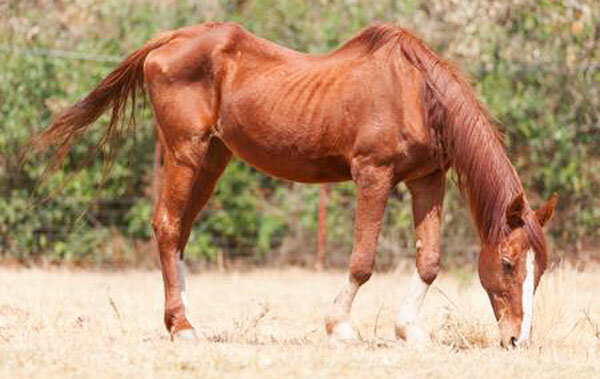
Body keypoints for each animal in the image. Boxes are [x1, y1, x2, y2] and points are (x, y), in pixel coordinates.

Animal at [28, 20, 556, 348]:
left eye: (541, 271)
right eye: (508, 264)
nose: (518, 339)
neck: (415, 91)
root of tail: (170, 40)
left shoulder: (427, 179)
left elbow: (428, 262)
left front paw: (409, 330)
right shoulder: (373, 175)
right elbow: (362, 259)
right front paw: (339, 327)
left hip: (213, 159)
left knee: (179, 231)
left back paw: (185, 320)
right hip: (185, 152)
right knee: (166, 224)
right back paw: (181, 326)